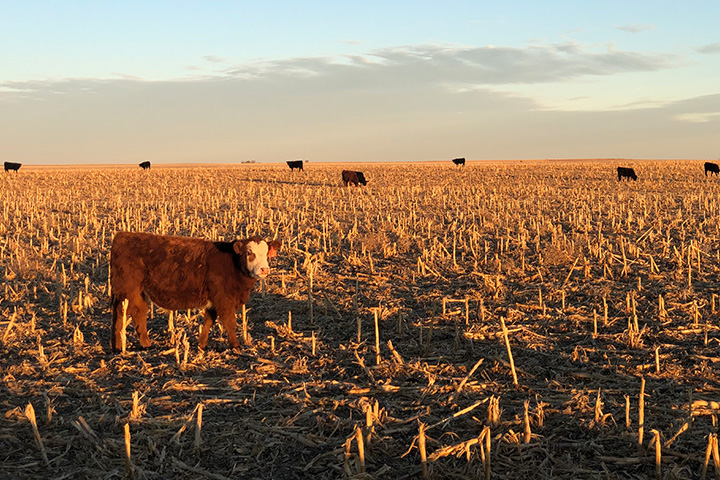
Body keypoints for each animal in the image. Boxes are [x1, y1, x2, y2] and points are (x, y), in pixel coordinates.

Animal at [109, 232, 282, 352]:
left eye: (267, 253)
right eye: (249, 253)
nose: (264, 269)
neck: (232, 264)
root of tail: (122, 235)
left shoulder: (214, 301)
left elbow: (208, 321)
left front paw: (202, 345)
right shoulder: (224, 300)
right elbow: (229, 322)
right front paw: (236, 346)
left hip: (137, 292)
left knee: (139, 312)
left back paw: (146, 345)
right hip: (126, 290)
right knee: (121, 314)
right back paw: (118, 347)